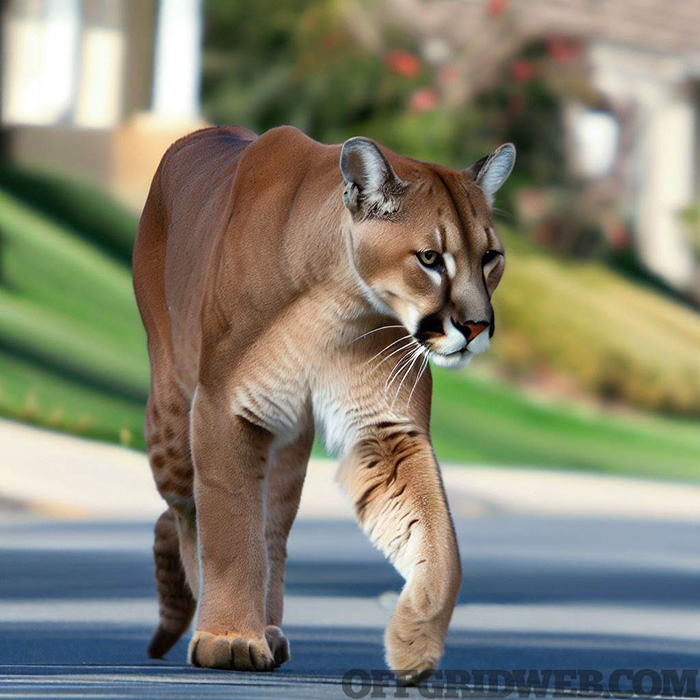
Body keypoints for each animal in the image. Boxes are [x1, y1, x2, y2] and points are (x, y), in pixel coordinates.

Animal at [133, 126, 516, 684]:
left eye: (490, 257)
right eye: (429, 258)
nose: (476, 326)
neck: (338, 302)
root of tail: (202, 133)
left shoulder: (387, 430)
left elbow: (439, 541)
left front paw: (414, 643)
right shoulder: (223, 407)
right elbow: (228, 530)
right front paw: (228, 637)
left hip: (286, 448)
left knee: (270, 530)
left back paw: (268, 628)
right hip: (170, 415)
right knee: (186, 514)